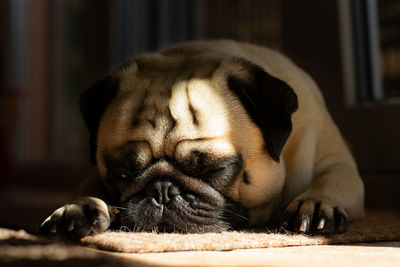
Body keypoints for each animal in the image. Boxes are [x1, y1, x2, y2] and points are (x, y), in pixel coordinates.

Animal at [39, 39, 364, 241]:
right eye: (122, 175)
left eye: (214, 170)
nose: (162, 190)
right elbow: (87, 188)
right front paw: (78, 207)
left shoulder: (338, 166)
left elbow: (329, 180)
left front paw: (317, 203)